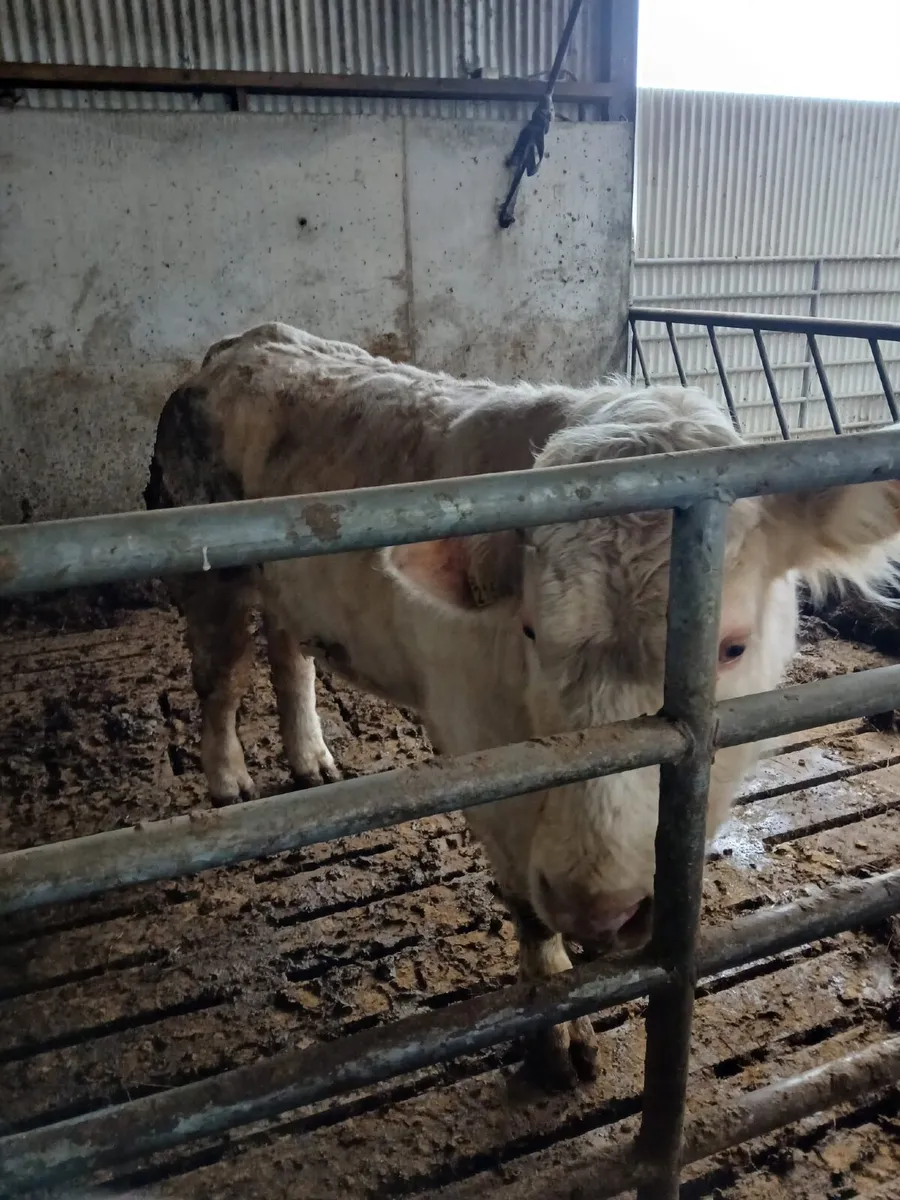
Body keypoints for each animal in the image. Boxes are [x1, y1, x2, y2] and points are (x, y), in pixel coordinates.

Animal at [145, 322, 900, 1089]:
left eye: (733, 647)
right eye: (532, 629)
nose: (595, 908)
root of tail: (246, 342)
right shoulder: (476, 747)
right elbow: (528, 909)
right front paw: (557, 1033)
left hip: (288, 589)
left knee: (287, 653)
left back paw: (310, 758)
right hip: (209, 575)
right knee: (219, 676)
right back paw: (228, 780)